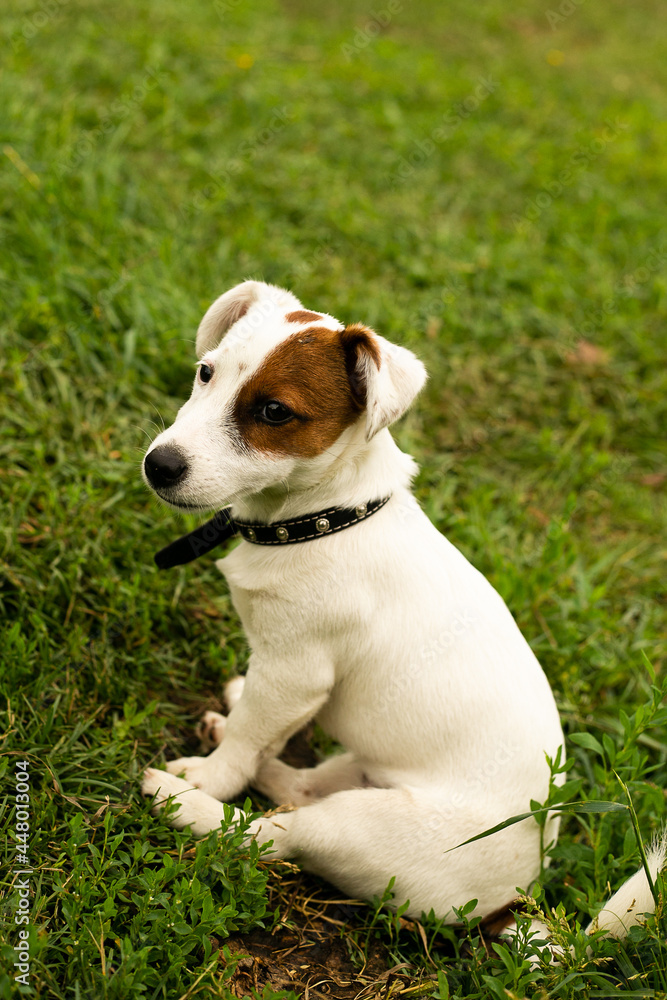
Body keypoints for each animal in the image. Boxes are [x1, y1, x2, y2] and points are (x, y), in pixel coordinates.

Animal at [141, 278, 664, 932]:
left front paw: (212, 776)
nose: (158, 465)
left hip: (361, 827)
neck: (326, 518)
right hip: (360, 771)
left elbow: (246, 743)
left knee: (271, 834)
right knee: (301, 788)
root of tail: (519, 894)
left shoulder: (294, 671)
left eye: (274, 413)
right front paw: (237, 712)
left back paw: (181, 800)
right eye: (205, 373)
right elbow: (255, 728)